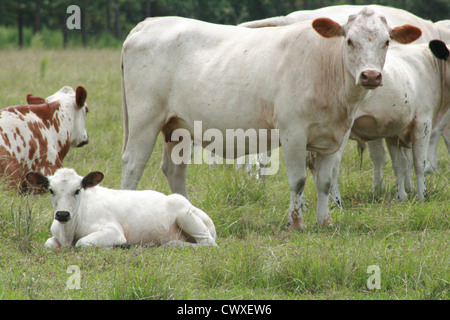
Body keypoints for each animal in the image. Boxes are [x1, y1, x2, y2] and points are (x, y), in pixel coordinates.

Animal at [25, 168, 217, 250]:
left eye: (77, 190)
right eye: (51, 190)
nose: (63, 214)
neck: (68, 232)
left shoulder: (113, 231)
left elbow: (83, 243)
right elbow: (49, 244)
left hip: (186, 215)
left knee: (208, 243)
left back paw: (170, 244)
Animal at [120, 8, 422, 230]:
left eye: (386, 42)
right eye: (349, 41)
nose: (370, 75)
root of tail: (150, 22)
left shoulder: (335, 136)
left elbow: (325, 181)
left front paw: (324, 221)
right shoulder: (293, 132)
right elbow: (298, 180)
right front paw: (296, 222)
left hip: (177, 127)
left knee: (174, 169)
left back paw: (188, 215)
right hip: (144, 120)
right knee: (133, 164)